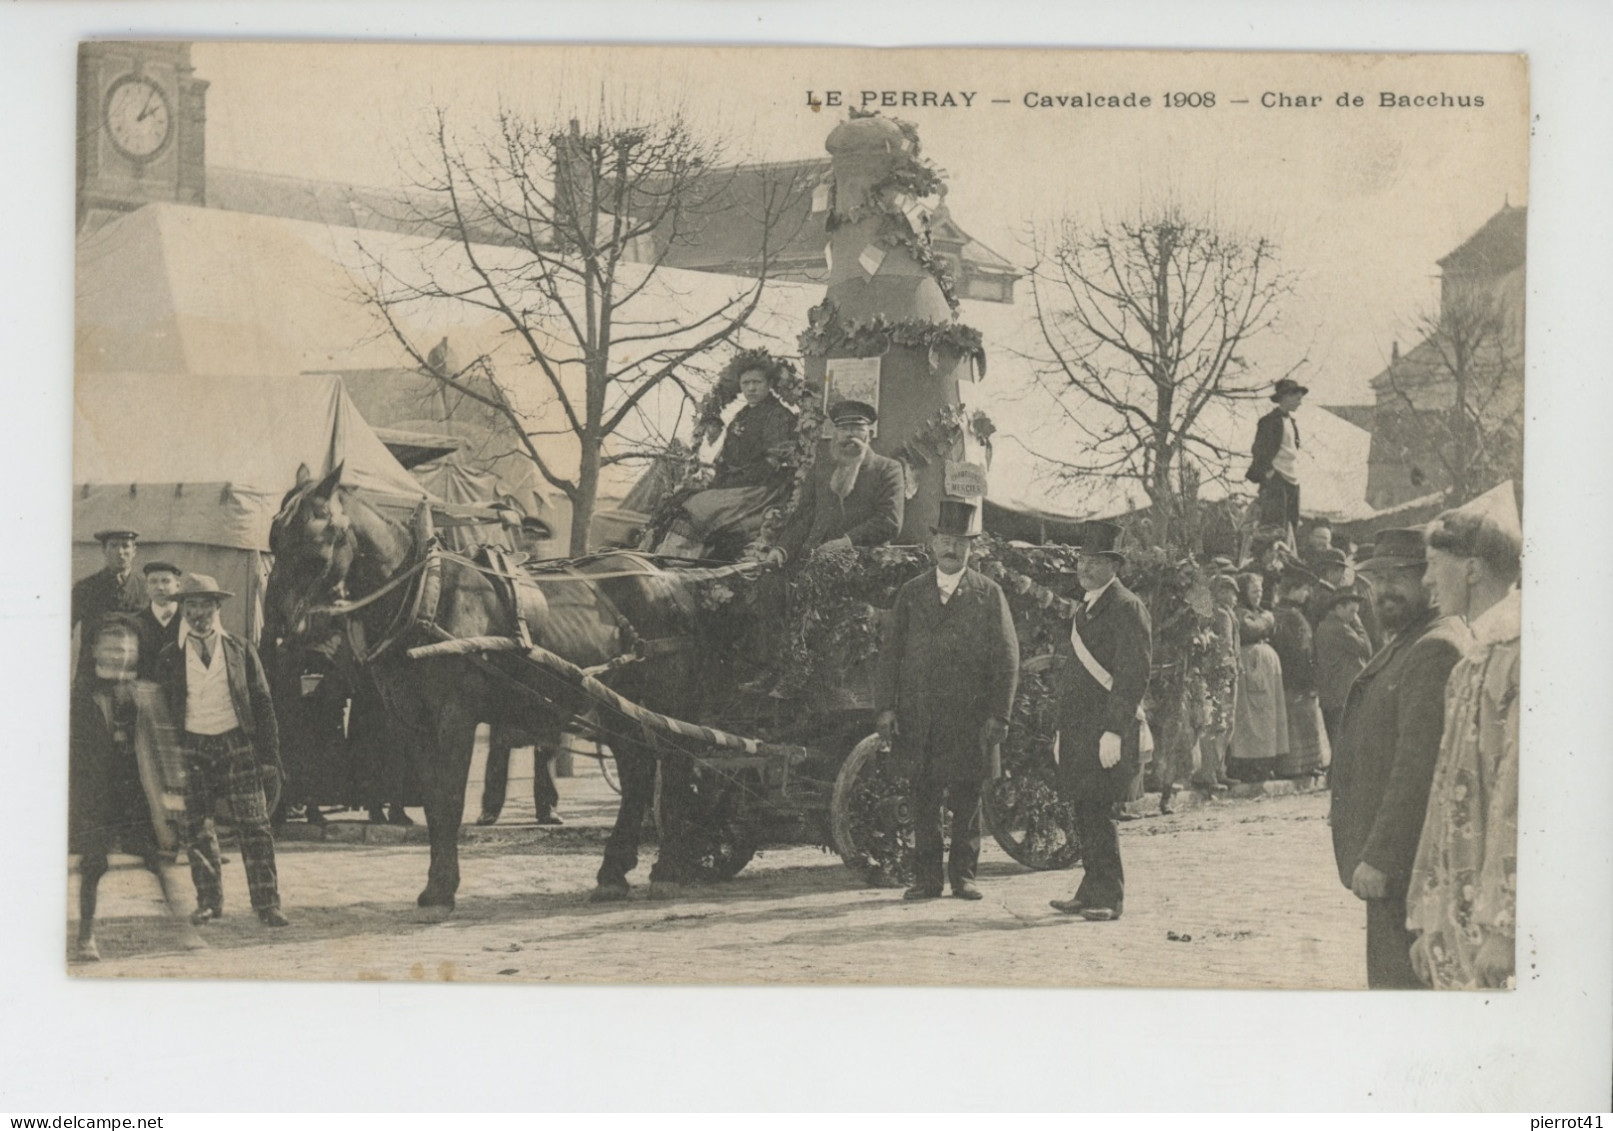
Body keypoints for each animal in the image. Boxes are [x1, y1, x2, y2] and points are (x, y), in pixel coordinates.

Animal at [269, 464, 712, 916]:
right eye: (274, 539)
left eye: (315, 546)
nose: (279, 624)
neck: (426, 594)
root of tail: (668, 577)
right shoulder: (414, 723)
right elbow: (433, 801)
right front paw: (434, 887)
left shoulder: (455, 717)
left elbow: (450, 799)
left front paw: (442, 890)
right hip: (616, 705)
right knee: (637, 771)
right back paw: (613, 873)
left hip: (664, 698)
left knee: (674, 765)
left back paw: (667, 869)